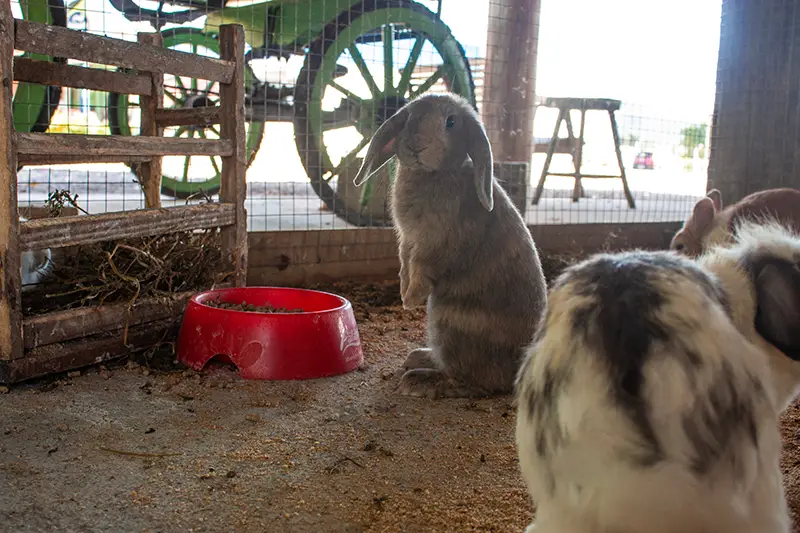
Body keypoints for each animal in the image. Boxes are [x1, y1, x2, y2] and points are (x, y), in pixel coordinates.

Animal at [354, 92, 548, 400]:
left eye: (451, 122)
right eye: (408, 118)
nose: (416, 146)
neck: (434, 173)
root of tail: (518, 372)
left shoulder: (434, 243)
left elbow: (423, 266)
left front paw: (410, 300)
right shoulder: (407, 239)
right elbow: (404, 263)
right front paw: (403, 292)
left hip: (450, 324)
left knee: (475, 382)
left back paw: (420, 380)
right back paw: (419, 358)